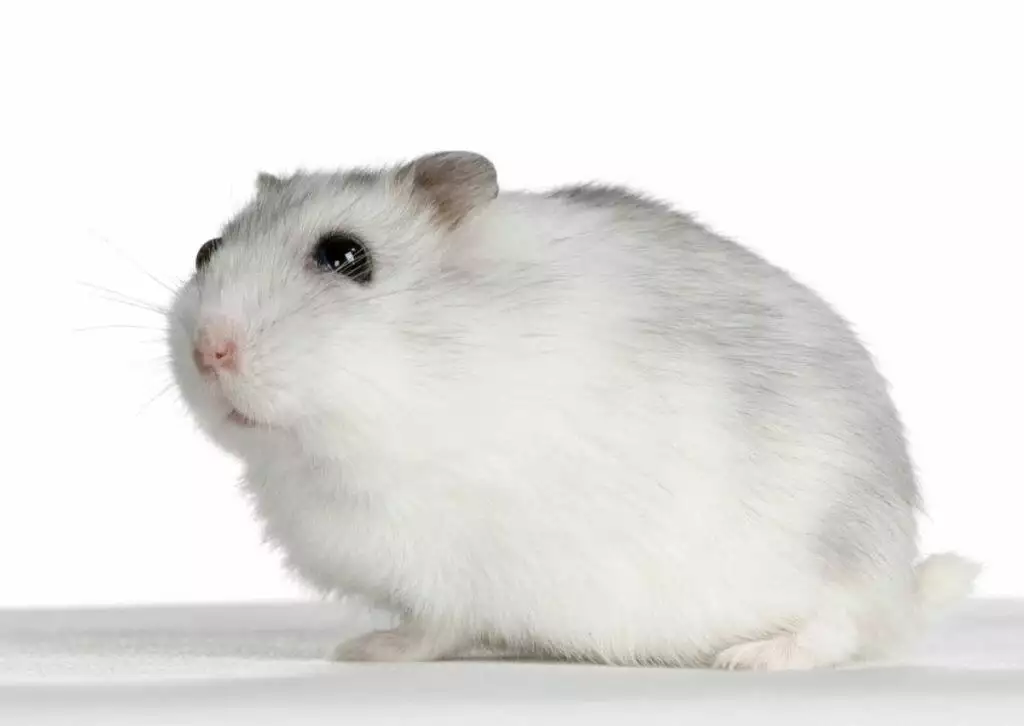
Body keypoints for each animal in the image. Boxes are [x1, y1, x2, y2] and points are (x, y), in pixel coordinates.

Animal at [167, 151, 979, 669]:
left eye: (344, 256)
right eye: (206, 250)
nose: (210, 351)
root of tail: (897, 580)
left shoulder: (442, 564)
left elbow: (429, 627)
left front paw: (363, 652)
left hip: (828, 560)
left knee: (839, 628)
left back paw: (753, 659)